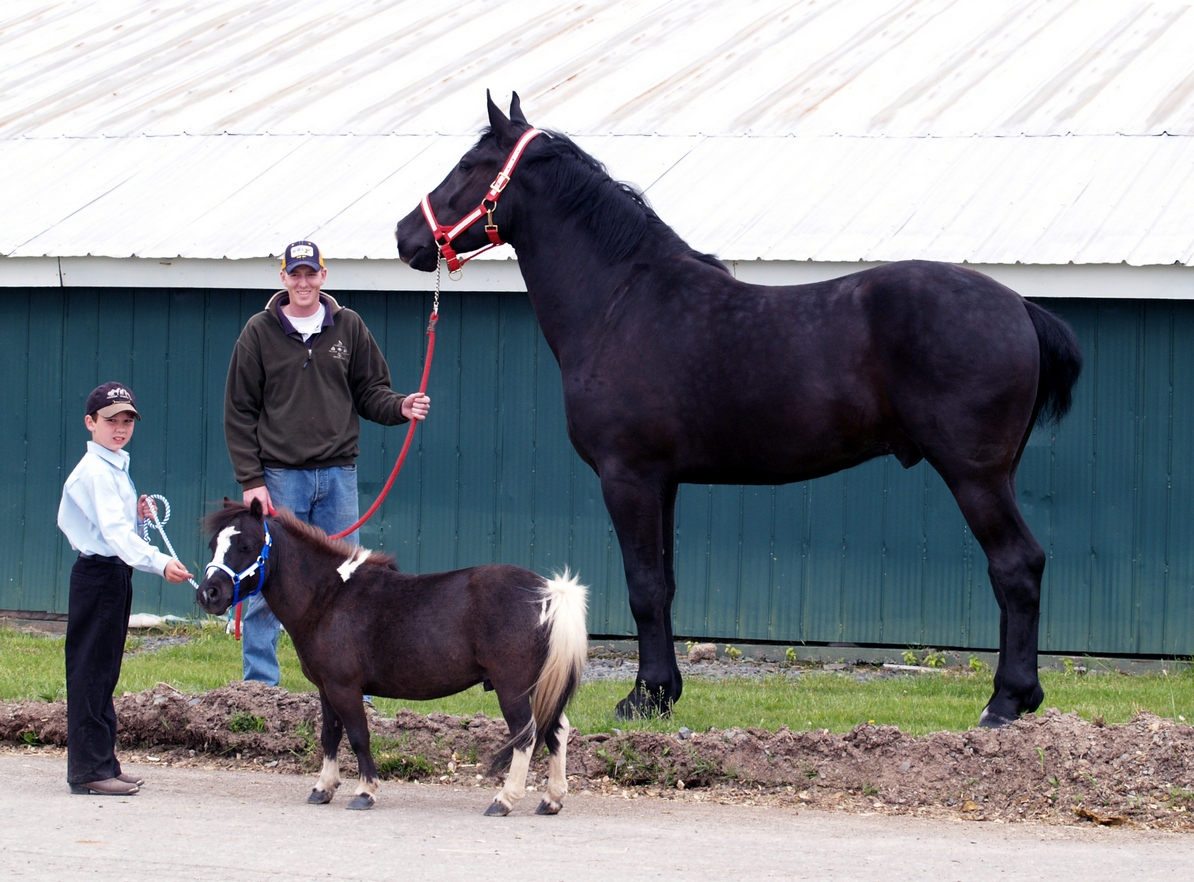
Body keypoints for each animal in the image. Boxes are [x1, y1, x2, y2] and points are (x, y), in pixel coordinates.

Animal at [195, 499, 588, 816]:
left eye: (246, 545)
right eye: (213, 544)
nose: (209, 594)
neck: (328, 597)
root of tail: (549, 592)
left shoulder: (344, 687)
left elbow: (358, 736)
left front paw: (365, 791)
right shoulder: (326, 688)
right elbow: (329, 735)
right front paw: (323, 788)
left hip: (513, 688)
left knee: (526, 734)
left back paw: (504, 800)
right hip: (541, 685)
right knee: (556, 729)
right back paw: (551, 799)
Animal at [395, 93, 1083, 728]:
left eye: (468, 165)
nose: (405, 236)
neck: (620, 299)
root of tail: (1019, 307)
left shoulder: (628, 476)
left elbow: (643, 587)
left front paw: (641, 699)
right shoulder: (664, 482)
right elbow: (665, 585)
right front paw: (663, 693)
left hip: (974, 475)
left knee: (1016, 566)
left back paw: (1005, 702)